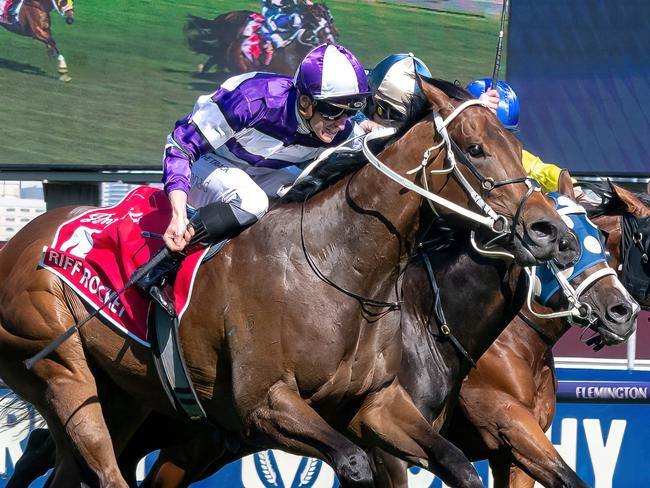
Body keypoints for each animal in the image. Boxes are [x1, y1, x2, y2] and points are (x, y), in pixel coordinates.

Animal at [0, 78, 572, 486]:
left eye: (516, 145)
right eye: (474, 148)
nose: (552, 233)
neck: (337, 268)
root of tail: (18, 241)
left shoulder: (378, 405)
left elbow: (459, 465)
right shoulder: (265, 404)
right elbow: (354, 463)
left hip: (124, 397)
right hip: (60, 371)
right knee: (102, 469)